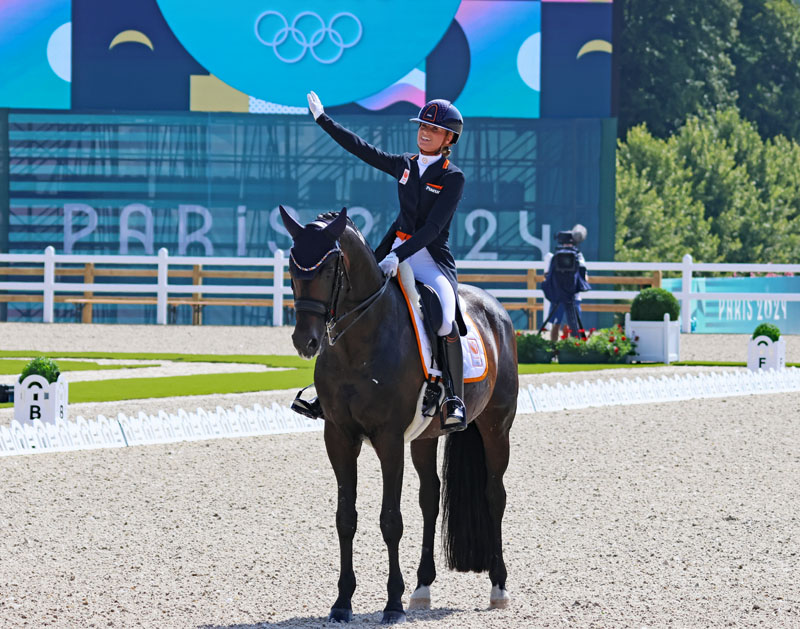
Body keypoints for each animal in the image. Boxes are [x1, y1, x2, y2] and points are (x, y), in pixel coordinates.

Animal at [282, 207, 520, 624]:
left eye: (327, 270)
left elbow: (390, 520)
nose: (305, 341)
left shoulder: (388, 439)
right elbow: (346, 518)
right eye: (293, 268)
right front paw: (342, 602)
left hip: (496, 426)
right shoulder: (338, 437)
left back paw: (498, 587)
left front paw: (391, 603)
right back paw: (422, 588)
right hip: (426, 437)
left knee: (495, 494)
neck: (358, 341)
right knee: (430, 498)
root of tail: (495, 309)